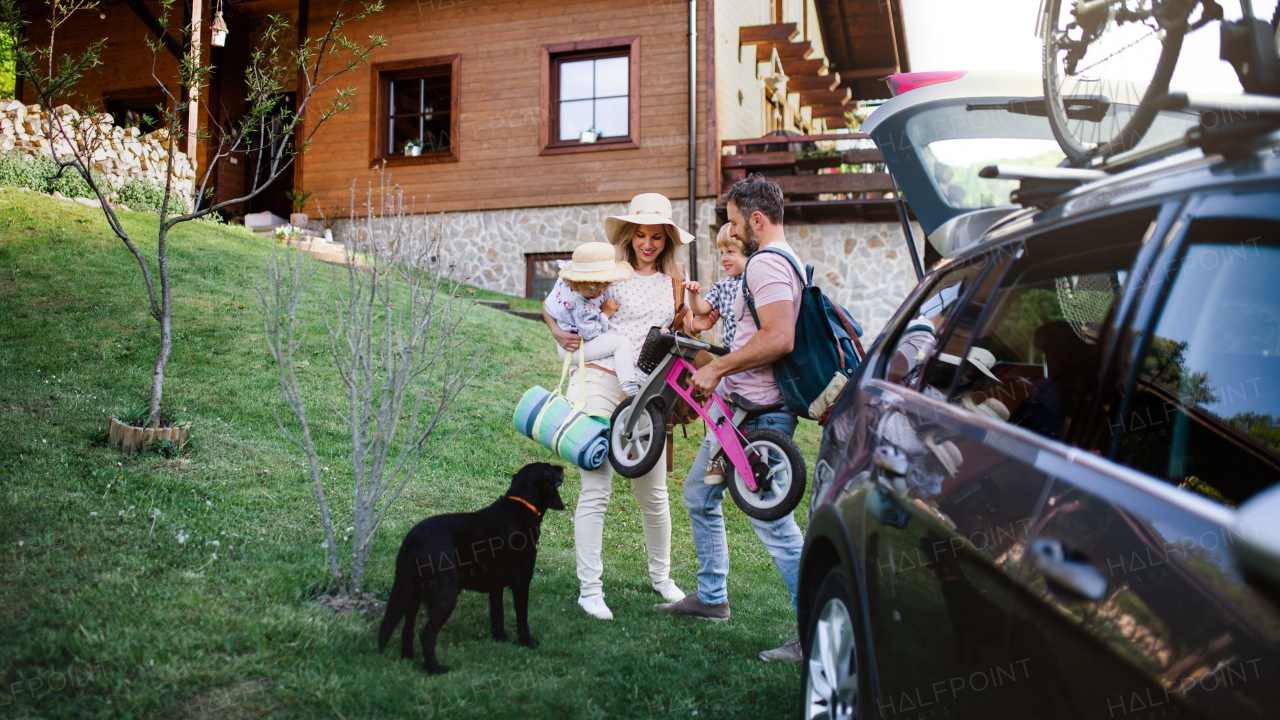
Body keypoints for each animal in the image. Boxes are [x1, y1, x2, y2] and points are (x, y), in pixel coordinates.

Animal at [373, 461, 565, 671]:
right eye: (550, 469)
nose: (562, 467)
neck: (520, 508)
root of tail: (411, 540)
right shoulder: (521, 582)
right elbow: (522, 619)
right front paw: (528, 643)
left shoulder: (496, 587)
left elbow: (497, 617)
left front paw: (501, 640)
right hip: (445, 595)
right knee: (426, 635)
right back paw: (436, 669)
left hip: (412, 594)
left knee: (408, 629)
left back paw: (409, 659)